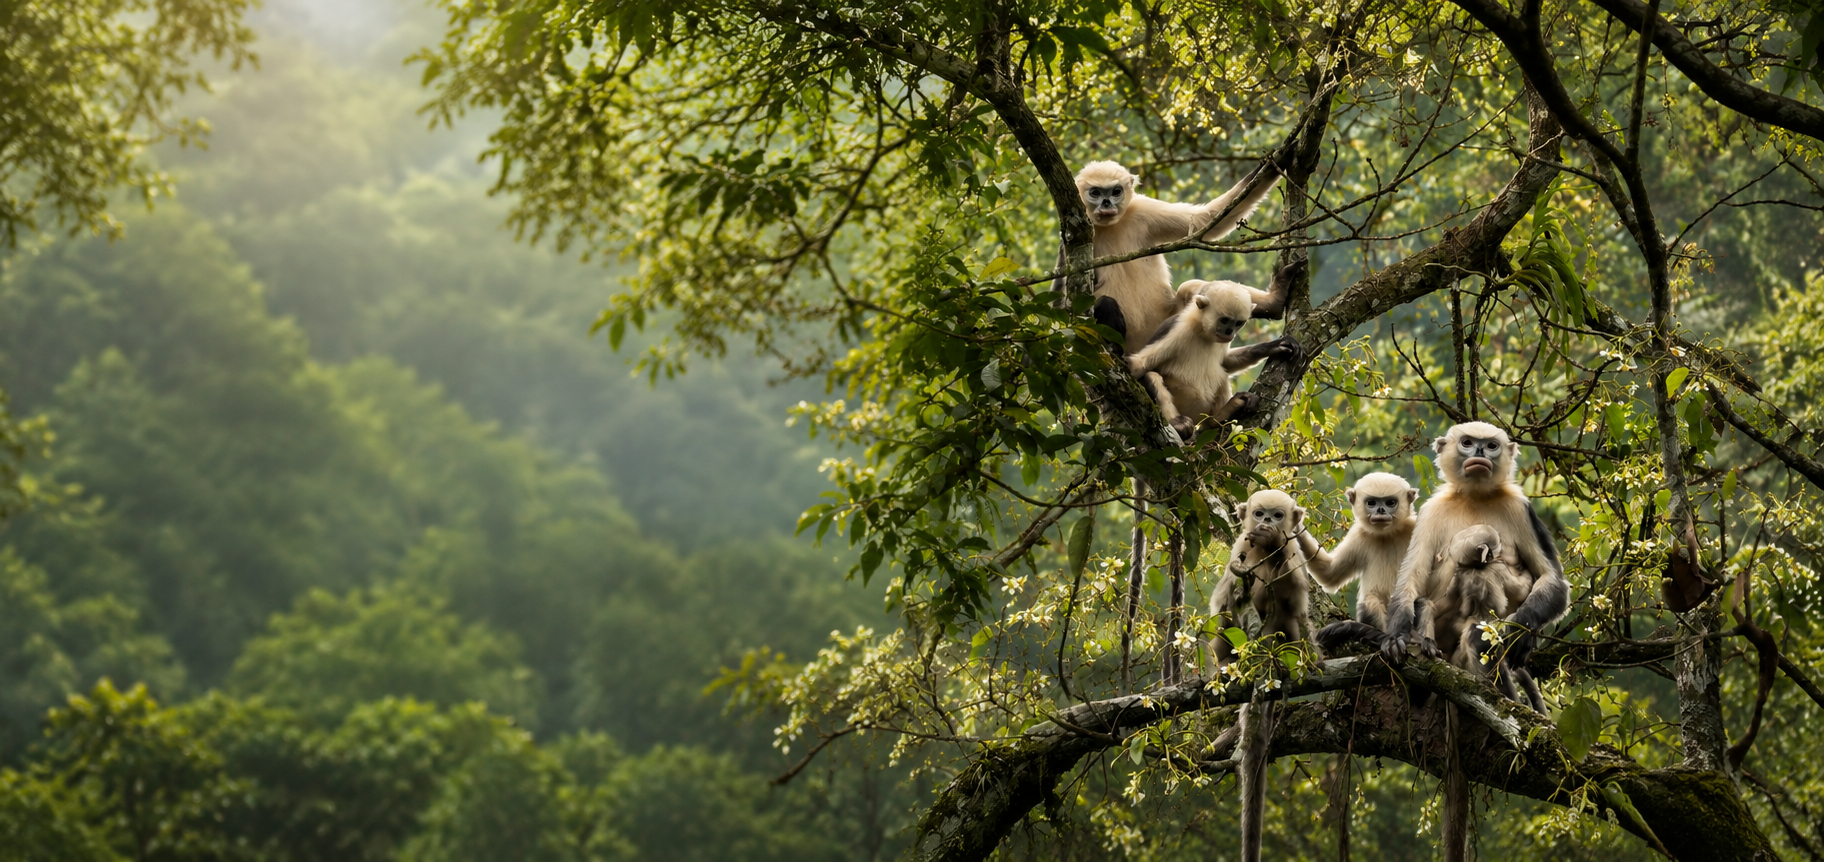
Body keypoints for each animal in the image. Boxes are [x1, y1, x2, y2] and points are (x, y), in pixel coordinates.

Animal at [1075, 160, 1282, 355]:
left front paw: (1276, 162)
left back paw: (1274, 302)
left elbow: (1204, 220)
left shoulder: (1142, 209)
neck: (1111, 225)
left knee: (1188, 288)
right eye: (1095, 193)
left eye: (1116, 191)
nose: (1106, 204)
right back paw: (1114, 348)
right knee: (1105, 301)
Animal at [1127, 280, 1298, 436]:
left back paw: (1220, 416)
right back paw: (1178, 425)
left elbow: (1225, 363)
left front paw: (1274, 347)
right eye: (1224, 320)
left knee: (1221, 375)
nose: (1229, 332)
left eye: (1238, 323)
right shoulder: (1176, 330)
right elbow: (1139, 365)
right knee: (1152, 375)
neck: (1202, 331)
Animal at [1302, 473, 1420, 653]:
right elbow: (1329, 574)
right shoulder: (1359, 536)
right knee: (1370, 600)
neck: (1387, 535)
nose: (1380, 510)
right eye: (1371, 503)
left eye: (1390, 503)